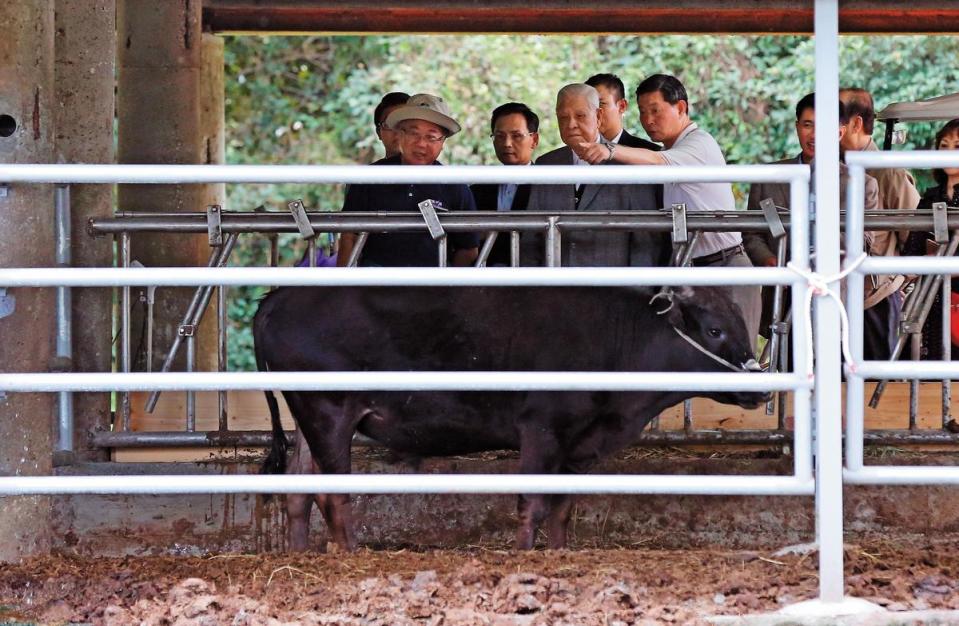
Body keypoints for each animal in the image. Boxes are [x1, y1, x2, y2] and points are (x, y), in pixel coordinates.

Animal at [253, 286, 764, 548]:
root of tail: (276, 297)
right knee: (332, 494)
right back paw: (350, 553)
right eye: (714, 330)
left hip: (308, 420)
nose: (759, 386)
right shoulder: (541, 430)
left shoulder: (578, 444)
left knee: (297, 491)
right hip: (329, 411)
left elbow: (562, 507)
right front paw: (524, 554)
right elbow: (532, 503)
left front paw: (558, 553)